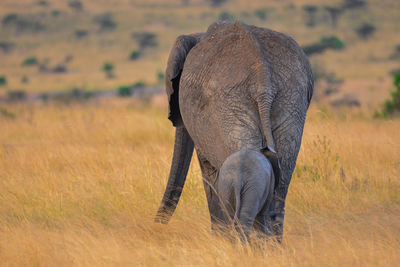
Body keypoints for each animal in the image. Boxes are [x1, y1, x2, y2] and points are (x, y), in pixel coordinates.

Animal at [155, 22, 314, 242]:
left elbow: (209, 174)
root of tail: (262, 81)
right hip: (291, 102)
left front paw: (218, 240)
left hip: (228, 105)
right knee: (281, 182)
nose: (156, 225)